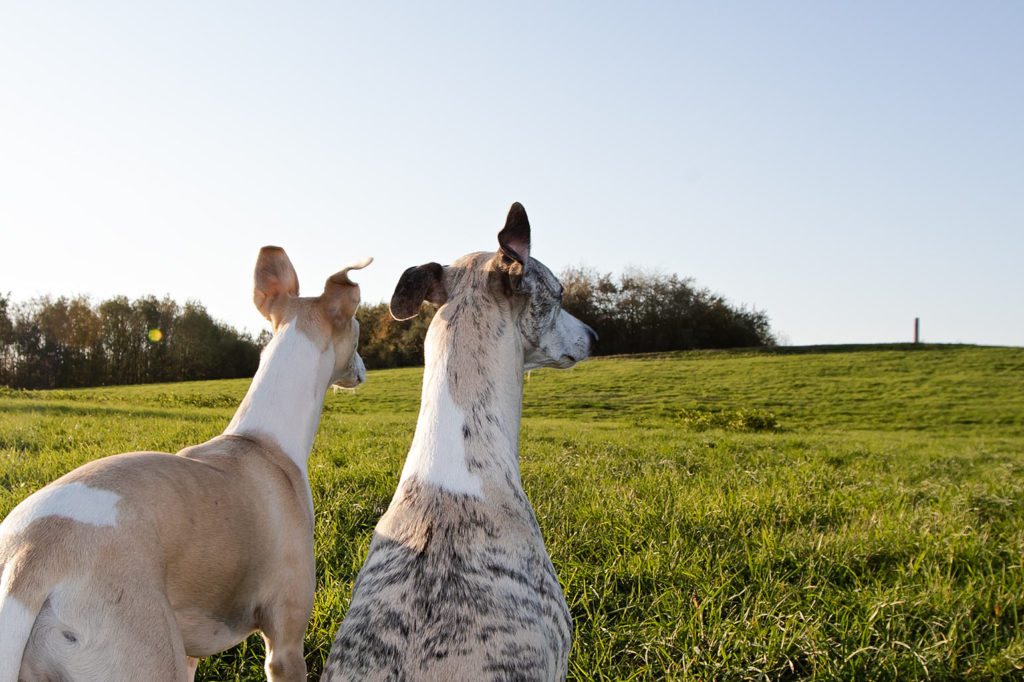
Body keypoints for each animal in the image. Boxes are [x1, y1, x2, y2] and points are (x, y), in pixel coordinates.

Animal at [0, 245, 370, 679]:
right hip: (149, 653)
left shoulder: (194, 646)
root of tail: (30, 562)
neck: (262, 440)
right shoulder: (285, 645)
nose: (363, 370)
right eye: (358, 329)